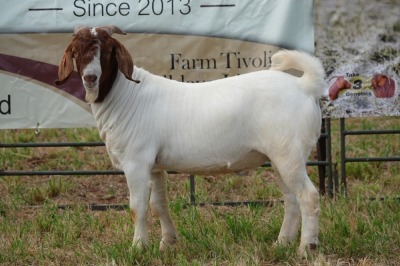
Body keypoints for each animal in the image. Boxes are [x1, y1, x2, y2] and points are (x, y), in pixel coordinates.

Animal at [55, 25, 324, 256]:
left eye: (109, 51)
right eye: (76, 52)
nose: (90, 77)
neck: (126, 96)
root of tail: (304, 85)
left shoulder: (136, 162)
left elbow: (137, 207)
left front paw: (138, 248)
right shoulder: (154, 166)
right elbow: (159, 204)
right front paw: (167, 243)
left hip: (289, 153)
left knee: (308, 196)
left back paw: (306, 248)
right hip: (280, 156)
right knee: (291, 199)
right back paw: (281, 243)